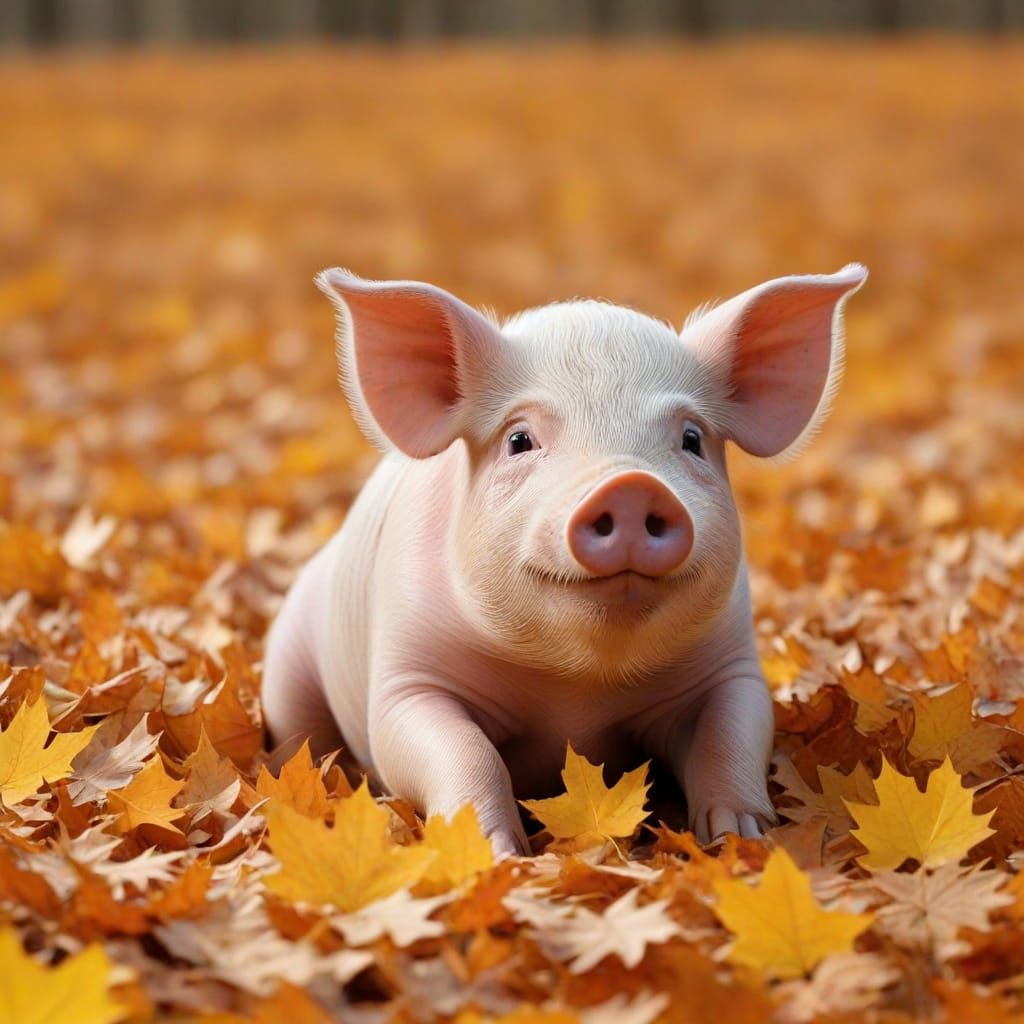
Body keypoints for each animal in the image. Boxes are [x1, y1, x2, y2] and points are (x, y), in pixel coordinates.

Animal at [261, 263, 868, 855]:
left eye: (692, 439)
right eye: (519, 440)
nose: (630, 485)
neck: (577, 691)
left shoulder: (730, 662)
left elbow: (732, 734)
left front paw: (744, 839)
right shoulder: (407, 678)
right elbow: (457, 747)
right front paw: (498, 853)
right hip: (287, 658)